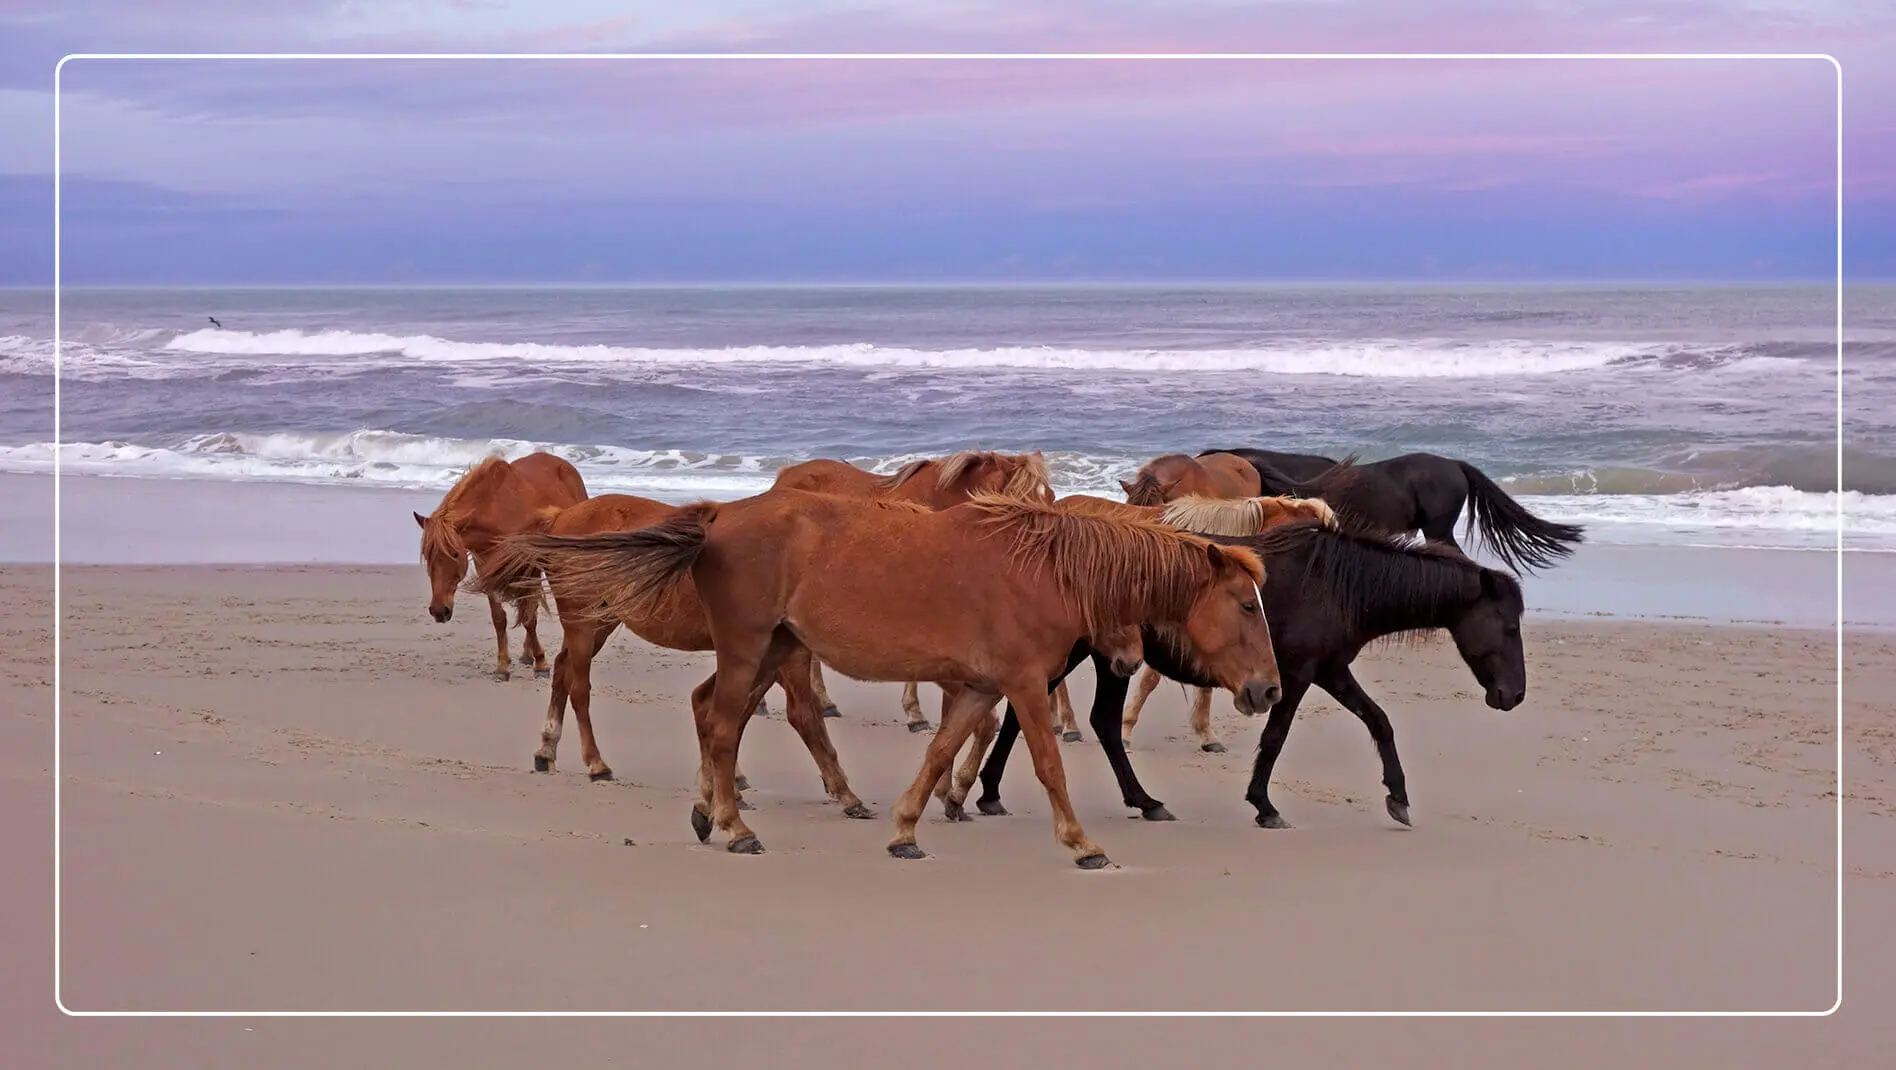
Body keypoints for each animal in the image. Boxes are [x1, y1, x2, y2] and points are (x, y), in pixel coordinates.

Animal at [414, 453, 588, 680]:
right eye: (427, 555)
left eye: (455, 553)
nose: (439, 611)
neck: (498, 512)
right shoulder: (487, 570)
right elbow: (499, 619)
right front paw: (503, 666)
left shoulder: (529, 568)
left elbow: (529, 618)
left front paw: (541, 664)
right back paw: (526, 654)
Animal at [472, 493, 871, 818]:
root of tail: (562, 516)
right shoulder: (784, 658)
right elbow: (804, 717)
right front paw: (845, 793)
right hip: (584, 625)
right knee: (579, 687)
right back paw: (596, 764)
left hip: (599, 622)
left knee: (560, 670)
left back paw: (547, 749)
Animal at [514, 489, 1282, 868]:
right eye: (1247, 605)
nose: (1269, 690)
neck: (1047, 569)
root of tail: (719, 517)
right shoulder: (1024, 688)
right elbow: (1048, 765)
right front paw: (1082, 843)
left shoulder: (980, 689)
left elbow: (940, 752)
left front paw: (906, 829)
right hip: (748, 650)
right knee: (723, 723)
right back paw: (733, 828)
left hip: (773, 651)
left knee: (712, 715)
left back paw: (712, 814)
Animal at [973, 518, 1527, 829]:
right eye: (1507, 624)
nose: (1513, 695)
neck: (1338, 584)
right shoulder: (1297, 676)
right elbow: (1276, 737)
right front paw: (1264, 806)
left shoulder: (1330, 671)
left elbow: (1379, 722)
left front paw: (1398, 797)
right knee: (1078, 720)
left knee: (1058, 719)